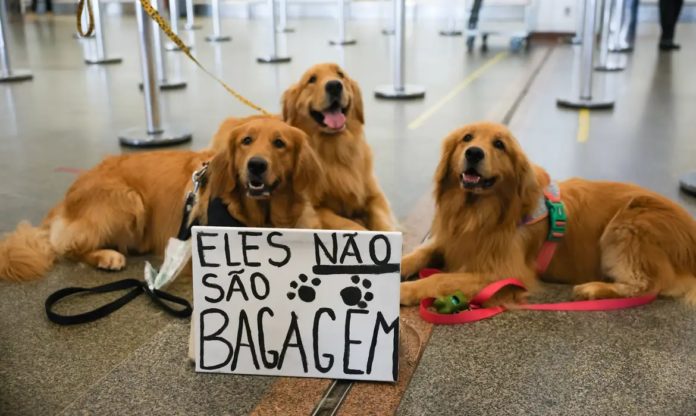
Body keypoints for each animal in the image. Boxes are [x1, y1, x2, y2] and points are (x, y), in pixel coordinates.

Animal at [0, 116, 324, 282]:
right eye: (246, 141)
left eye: (279, 143)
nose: (256, 165)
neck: (263, 217)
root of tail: (66, 199)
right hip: (128, 200)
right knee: (69, 247)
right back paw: (107, 256)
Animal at [278, 62, 396, 231]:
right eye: (311, 79)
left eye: (340, 75)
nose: (334, 85)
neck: (336, 150)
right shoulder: (314, 209)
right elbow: (349, 224)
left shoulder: (375, 195)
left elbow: (383, 221)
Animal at [396, 120, 696, 306]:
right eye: (466, 138)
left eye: (499, 144)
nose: (474, 153)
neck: (477, 212)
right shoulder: (451, 240)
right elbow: (420, 253)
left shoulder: (504, 272)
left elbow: (440, 278)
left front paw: (405, 290)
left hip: (627, 224)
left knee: (647, 285)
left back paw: (594, 288)